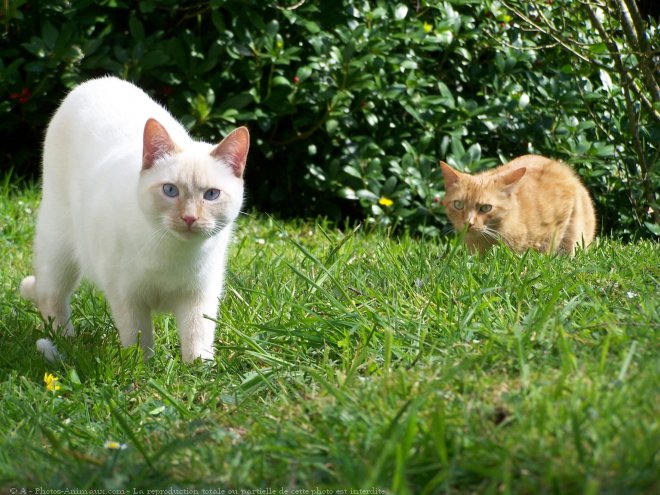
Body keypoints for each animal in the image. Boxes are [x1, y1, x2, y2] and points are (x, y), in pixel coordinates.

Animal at [20, 78, 249, 364]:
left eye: (211, 195)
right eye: (170, 190)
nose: (189, 217)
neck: (173, 253)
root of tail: (95, 81)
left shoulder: (199, 296)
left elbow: (198, 338)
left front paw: (198, 369)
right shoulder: (127, 296)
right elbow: (138, 340)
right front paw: (142, 368)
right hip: (60, 246)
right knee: (51, 297)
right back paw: (65, 340)